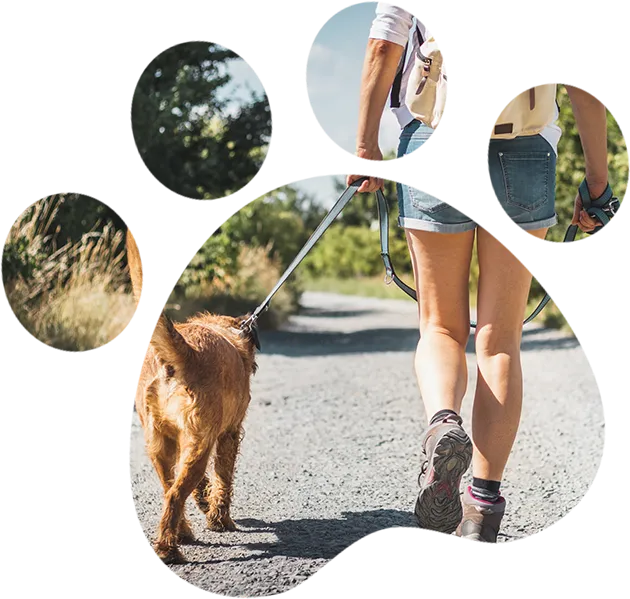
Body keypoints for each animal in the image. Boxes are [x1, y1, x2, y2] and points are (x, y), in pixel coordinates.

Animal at [135, 308, 260, 564]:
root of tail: (186, 353)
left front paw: (204, 499)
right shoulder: (229, 434)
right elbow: (223, 479)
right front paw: (220, 520)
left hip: (161, 447)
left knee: (169, 489)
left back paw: (181, 533)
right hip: (200, 445)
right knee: (175, 495)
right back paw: (168, 550)